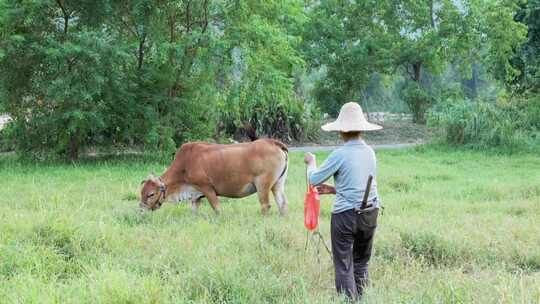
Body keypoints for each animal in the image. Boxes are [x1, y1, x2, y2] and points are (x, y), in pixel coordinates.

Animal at [141, 139, 288, 215]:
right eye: (142, 192)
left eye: (151, 194)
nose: (141, 209)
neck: (184, 165)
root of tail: (272, 142)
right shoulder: (195, 196)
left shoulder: (207, 189)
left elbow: (217, 209)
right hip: (278, 185)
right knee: (282, 203)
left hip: (262, 185)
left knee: (265, 205)